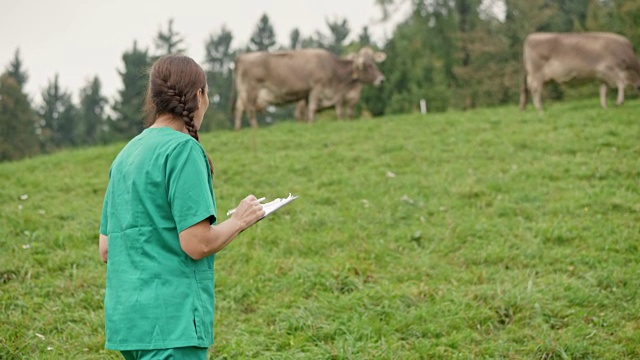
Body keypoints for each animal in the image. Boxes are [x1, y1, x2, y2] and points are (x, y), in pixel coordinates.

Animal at [234, 45, 388, 129]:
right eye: (366, 66)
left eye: (374, 62)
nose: (381, 79)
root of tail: (242, 57)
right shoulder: (317, 88)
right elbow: (315, 109)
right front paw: (311, 125)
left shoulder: (311, 95)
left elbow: (308, 112)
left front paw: (309, 124)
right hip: (250, 91)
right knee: (249, 111)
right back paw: (254, 128)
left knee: (239, 109)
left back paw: (238, 130)